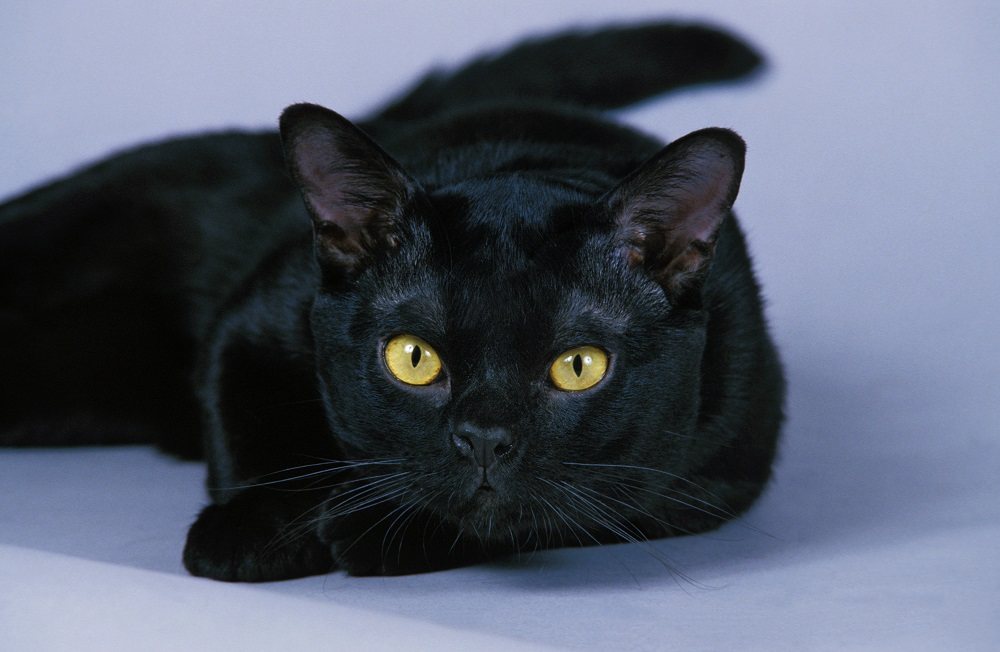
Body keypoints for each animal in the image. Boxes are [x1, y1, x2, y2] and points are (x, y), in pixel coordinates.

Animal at [0, 20, 780, 580]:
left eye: (579, 367)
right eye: (413, 358)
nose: (485, 439)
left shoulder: (713, 477)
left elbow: (563, 512)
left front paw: (370, 532)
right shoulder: (253, 320)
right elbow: (251, 426)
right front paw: (256, 530)